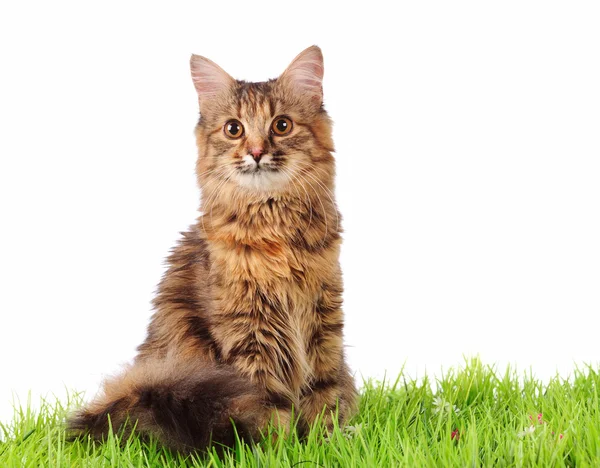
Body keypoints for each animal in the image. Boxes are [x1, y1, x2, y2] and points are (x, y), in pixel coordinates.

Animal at [67, 45, 356, 452]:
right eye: (234, 129)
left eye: (281, 126)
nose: (256, 151)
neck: (275, 227)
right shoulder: (248, 331)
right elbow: (266, 404)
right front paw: (275, 451)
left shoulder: (323, 320)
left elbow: (324, 395)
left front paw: (326, 447)